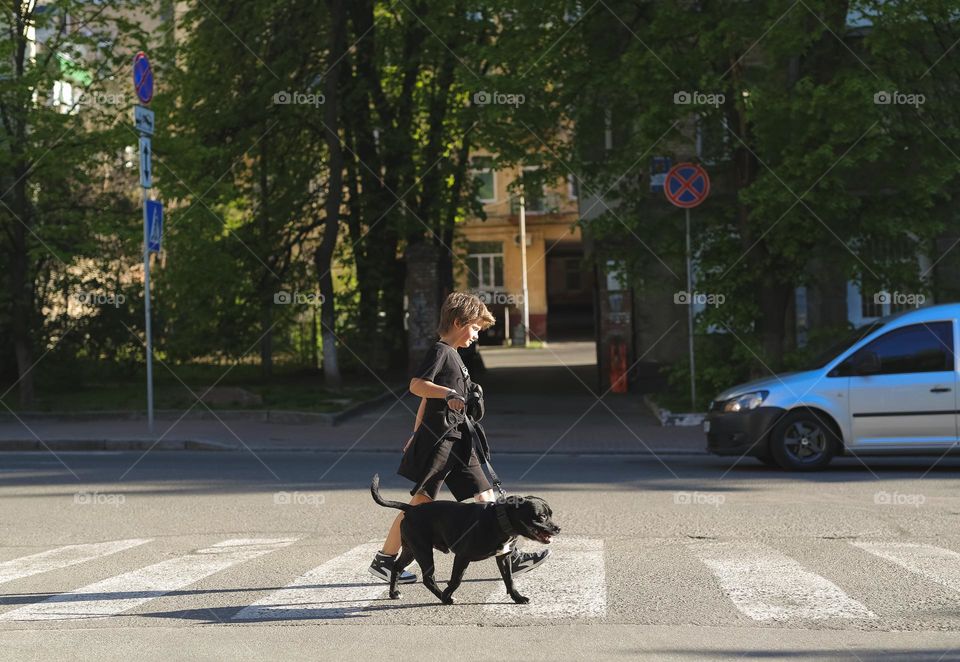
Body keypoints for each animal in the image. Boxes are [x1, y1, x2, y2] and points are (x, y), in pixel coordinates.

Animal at [372, 478, 560, 608]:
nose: (558, 528)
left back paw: (394, 593)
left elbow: (509, 580)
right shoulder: (462, 556)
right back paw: (442, 597)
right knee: (428, 578)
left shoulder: (503, 557)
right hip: (423, 551)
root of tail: (411, 509)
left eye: (551, 514)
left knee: (397, 567)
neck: (500, 520)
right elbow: (456, 580)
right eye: (542, 516)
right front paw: (447, 595)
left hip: (411, 549)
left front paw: (517, 598)